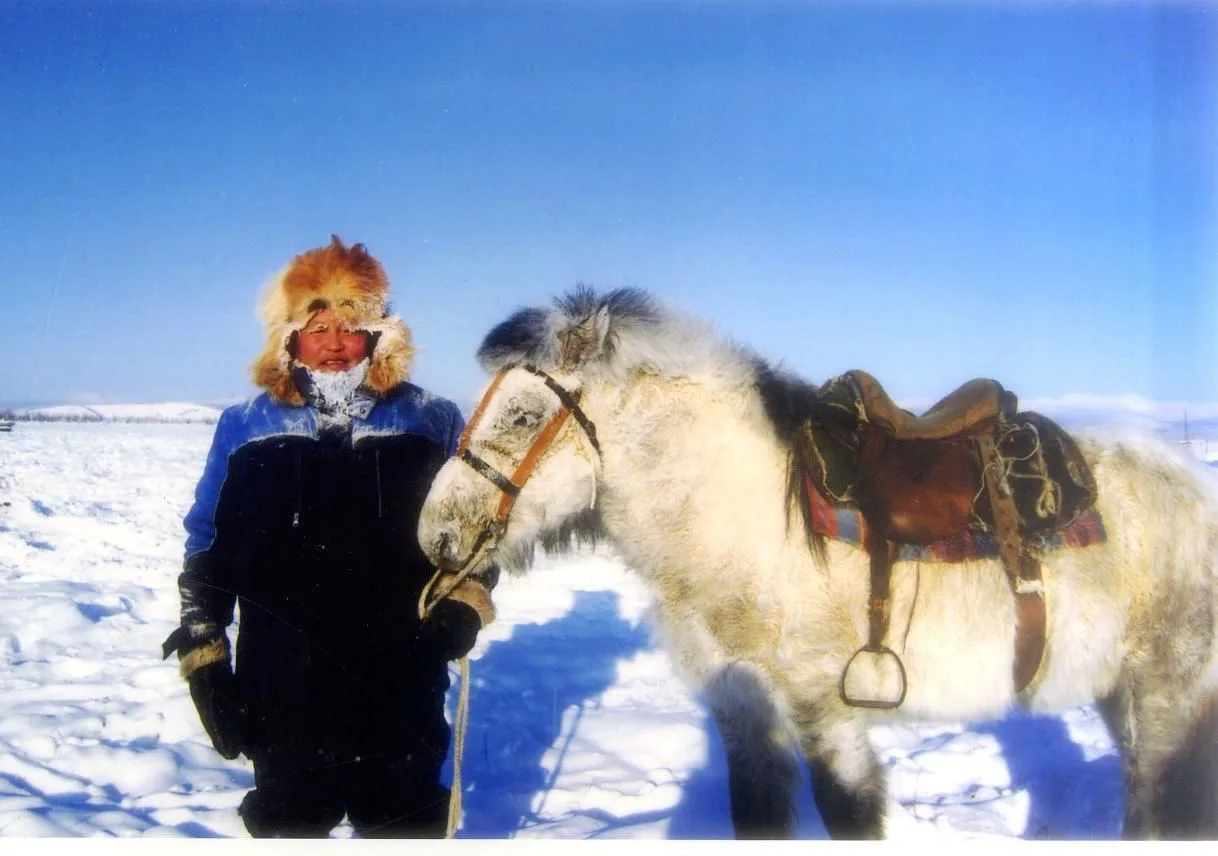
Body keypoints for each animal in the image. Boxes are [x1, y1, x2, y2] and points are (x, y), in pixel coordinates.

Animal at [417, 285, 1218, 840]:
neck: (741, 525)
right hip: (1121, 695)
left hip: (1168, 693)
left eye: (523, 415)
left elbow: (849, 815)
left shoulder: (823, 711)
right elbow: (757, 816)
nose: (436, 535)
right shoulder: (742, 713)